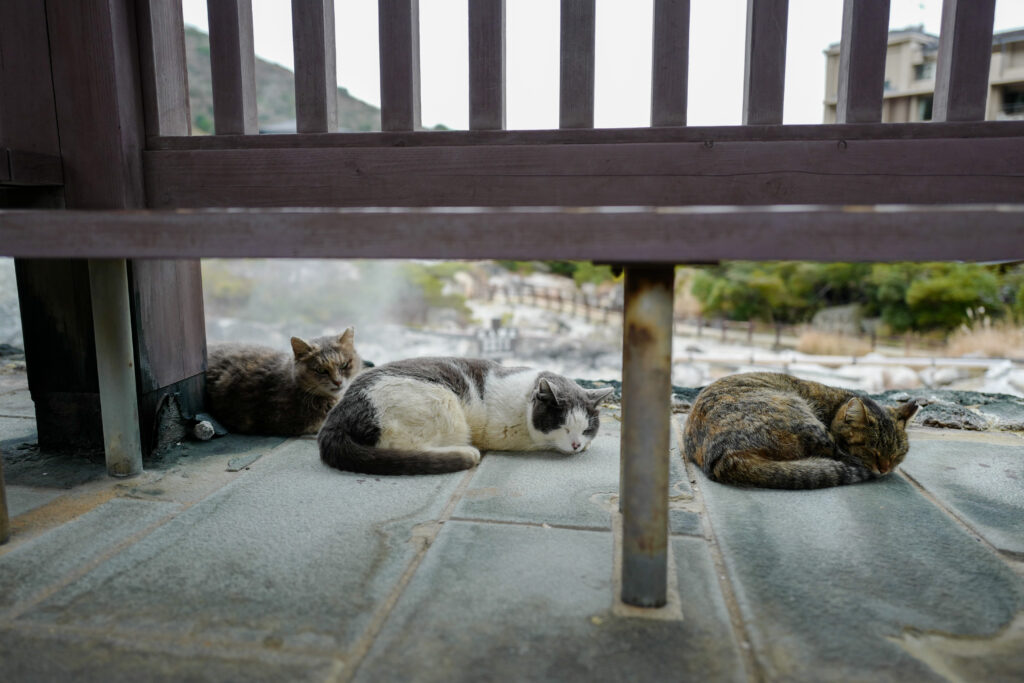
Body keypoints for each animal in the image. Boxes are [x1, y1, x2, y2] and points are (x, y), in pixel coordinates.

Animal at [315, 358, 610, 475]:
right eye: (561, 426)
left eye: (586, 429)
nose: (576, 444)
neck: (526, 397)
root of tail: (335, 418)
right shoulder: (507, 433)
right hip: (442, 404)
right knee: (402, 447)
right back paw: (465, 452)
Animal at [684, 370, 917, 489]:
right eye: (871, 451)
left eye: (896, 455)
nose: (885, 468)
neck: (835, 403)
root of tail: (727, 457)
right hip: (802, 416)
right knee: (836, 454)